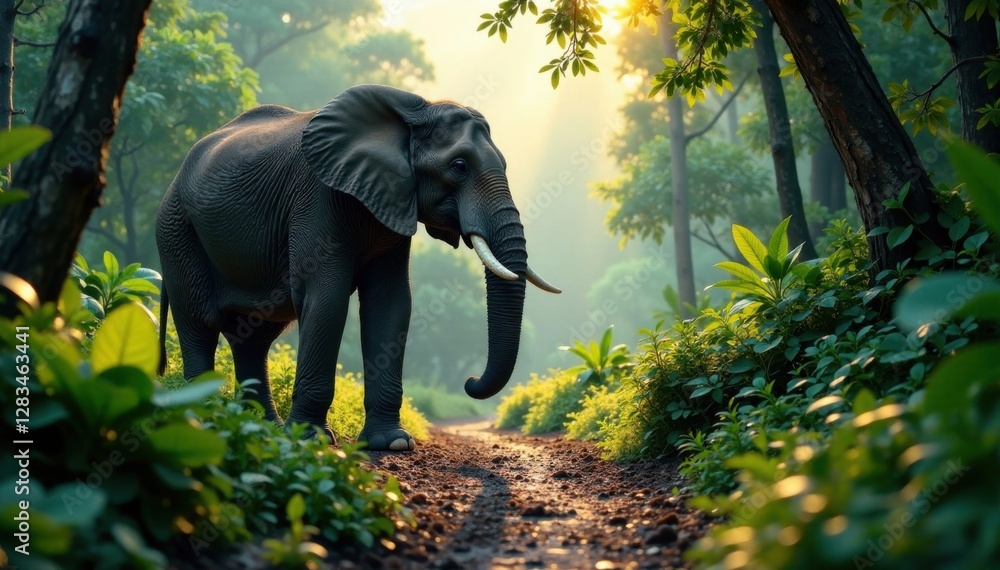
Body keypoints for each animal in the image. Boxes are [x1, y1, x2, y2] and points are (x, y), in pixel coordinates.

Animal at [156, 84, 560, 451]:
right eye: (459, 166)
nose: (470, 382)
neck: (413, 113)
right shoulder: (318, 198)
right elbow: (328, 301)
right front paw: (311, 439)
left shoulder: (391, 205)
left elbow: (390, 305)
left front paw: (392, 443)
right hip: (177, 230)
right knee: (200, 324)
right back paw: (205, 418)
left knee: (253, 338)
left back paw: (264, 428)